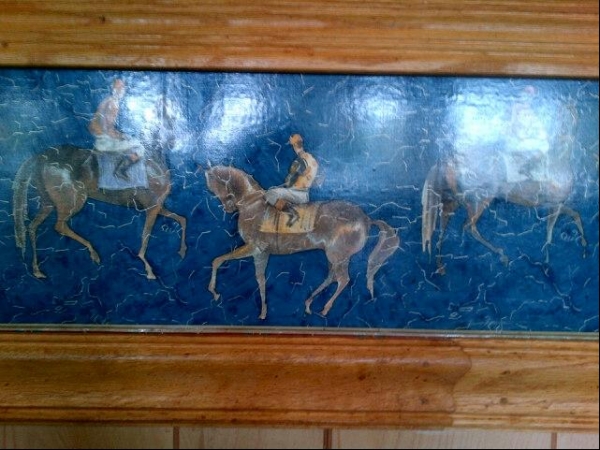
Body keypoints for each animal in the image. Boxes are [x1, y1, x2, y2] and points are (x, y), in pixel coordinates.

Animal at [12, 130, 187, 280]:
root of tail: (42, 157)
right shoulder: (152, 209)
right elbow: (145, 237)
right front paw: (149, 269)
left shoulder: (158, 207)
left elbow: (182, 219)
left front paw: (182, 251)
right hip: (72, 202)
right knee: (59, 226)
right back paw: (94, 253)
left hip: (48, 204)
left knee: (32, 227)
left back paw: (37, 270)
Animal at [204, 165, 400, 320]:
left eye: (214, 185)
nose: (228, 208)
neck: (252, 204)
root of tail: (366, 219)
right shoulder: (261, 253)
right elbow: (260, 279)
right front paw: (263, 312)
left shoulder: (254, 248)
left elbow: (218, 260)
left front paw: (214, 292)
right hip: (335, 257)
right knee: (331, 277)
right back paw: (308, 304)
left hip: (338, 256)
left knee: (343, 280)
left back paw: (325, 309)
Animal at [421, 103, 587, 274]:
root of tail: (447, 163)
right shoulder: (554, 206)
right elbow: (550, 233)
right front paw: (547, 263)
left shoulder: (555, 206)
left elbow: (575, 216)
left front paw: (582, 249)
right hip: (479, 203)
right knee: (468, 227)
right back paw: (502, 256)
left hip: (451, 204)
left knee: (442, 229)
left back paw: (440, 265)